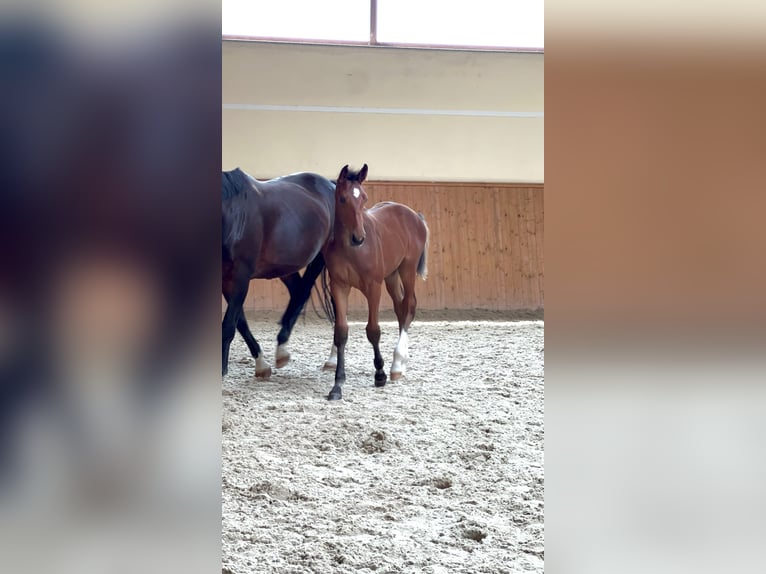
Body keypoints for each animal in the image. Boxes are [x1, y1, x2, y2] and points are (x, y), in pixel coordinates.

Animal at [219, 169, 332, 380]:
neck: (233, 214)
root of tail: (331, 184)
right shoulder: (226, 280)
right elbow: (241, 322)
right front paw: (261, 365)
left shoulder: (240, 276)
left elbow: (229, 325)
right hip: (285, 268)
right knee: (299, 294)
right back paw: (282, 349)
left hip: (322, 260)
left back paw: (332, 359)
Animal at [322, 164, 432, 402]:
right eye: (342, 199)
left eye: (364, 198)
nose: (358, 237)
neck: (351, 249)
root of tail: (414, 215)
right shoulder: (339, 286)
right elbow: (341, 331)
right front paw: (337, 385)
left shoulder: (373, 286)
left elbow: (373, 330)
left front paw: (379, 374)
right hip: (391, 275)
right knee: (400, 307)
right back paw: (401, 362)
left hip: (407, 269)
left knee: (409, 305)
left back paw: (397, 364)